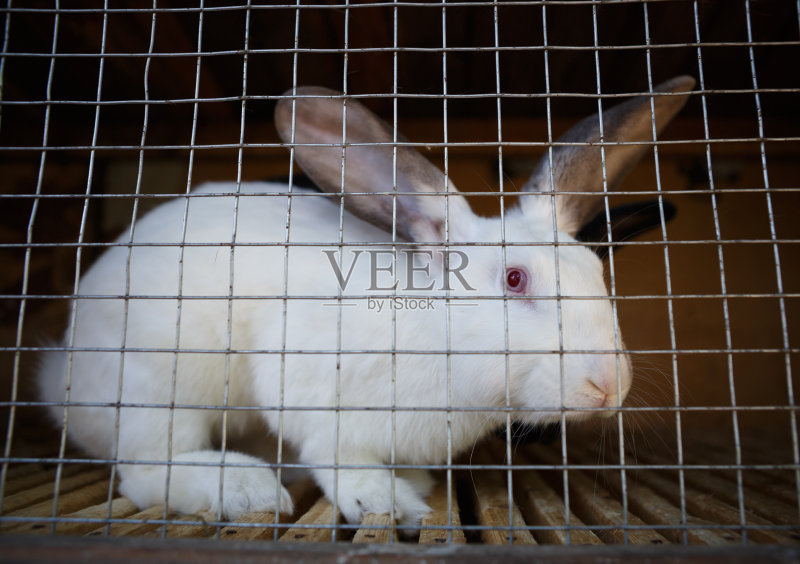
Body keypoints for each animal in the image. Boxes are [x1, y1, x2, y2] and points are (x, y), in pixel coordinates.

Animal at [37, 76, 692, 528]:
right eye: (514, 279)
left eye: (597, 272)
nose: (608, 385)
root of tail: (60, 376)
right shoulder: (317, 401)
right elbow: (340, 460)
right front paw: (388, 502)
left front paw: (414, 483)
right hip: (157, 390)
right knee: (149, 468)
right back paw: (244, 490)